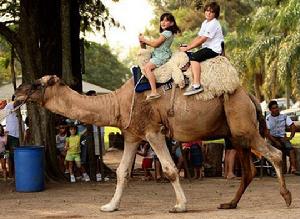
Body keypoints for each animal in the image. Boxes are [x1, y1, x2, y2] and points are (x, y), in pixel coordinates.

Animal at [14, 75, 290, 212]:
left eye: (37, 84)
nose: (16, 93)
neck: (117, 103)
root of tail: (251, 96)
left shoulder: (153, 131)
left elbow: (169, 169)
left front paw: (180, 206)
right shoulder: (132, 135)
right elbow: (122, 172)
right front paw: (110, 206)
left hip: (242, 123)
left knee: (275, 154)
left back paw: (286, 198)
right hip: (235, 133)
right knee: (250, 169)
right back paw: (229, 204)